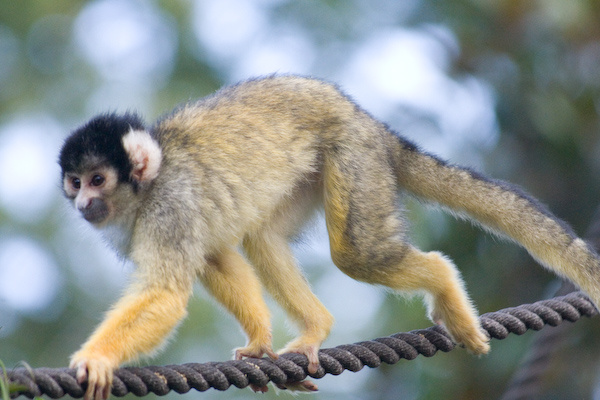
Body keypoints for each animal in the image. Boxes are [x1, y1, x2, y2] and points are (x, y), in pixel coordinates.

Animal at [59, 74, 600, 396]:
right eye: (75, 182)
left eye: (98, 179)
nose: (83, 204)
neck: (146, 189)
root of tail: (372, 124)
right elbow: (216, 257)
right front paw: (258, 342)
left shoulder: (170, 207)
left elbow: (168, 295)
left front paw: (95, 358)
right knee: (263, 238)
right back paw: (316, 328)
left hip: (353, 156)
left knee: (356, 254)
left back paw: (443, 282)